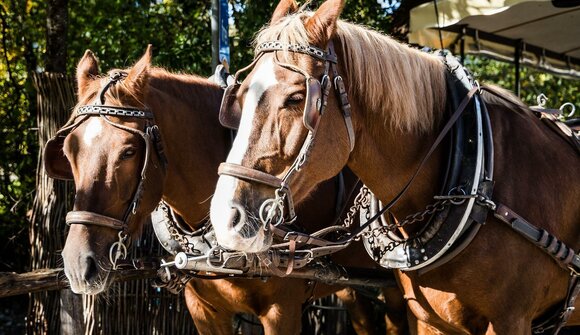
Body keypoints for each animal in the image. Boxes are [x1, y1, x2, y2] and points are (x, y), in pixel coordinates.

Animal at [210, 1, 580, 334]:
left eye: (297, 98)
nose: (227, 217)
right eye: (239, 96)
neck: (478, 185)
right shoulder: (432, 321)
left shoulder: (510, 320)